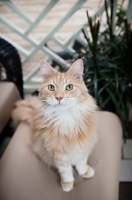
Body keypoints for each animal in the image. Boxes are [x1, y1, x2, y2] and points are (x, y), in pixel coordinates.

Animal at [11, 59, 98, 192]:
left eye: (69, 87)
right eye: (51, 87)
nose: (59, 97)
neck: (66, 119)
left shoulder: (83, 146)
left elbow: (81, 162)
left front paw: (84, 172)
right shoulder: (58, 154)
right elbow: (66, 171)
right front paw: (67, 183)